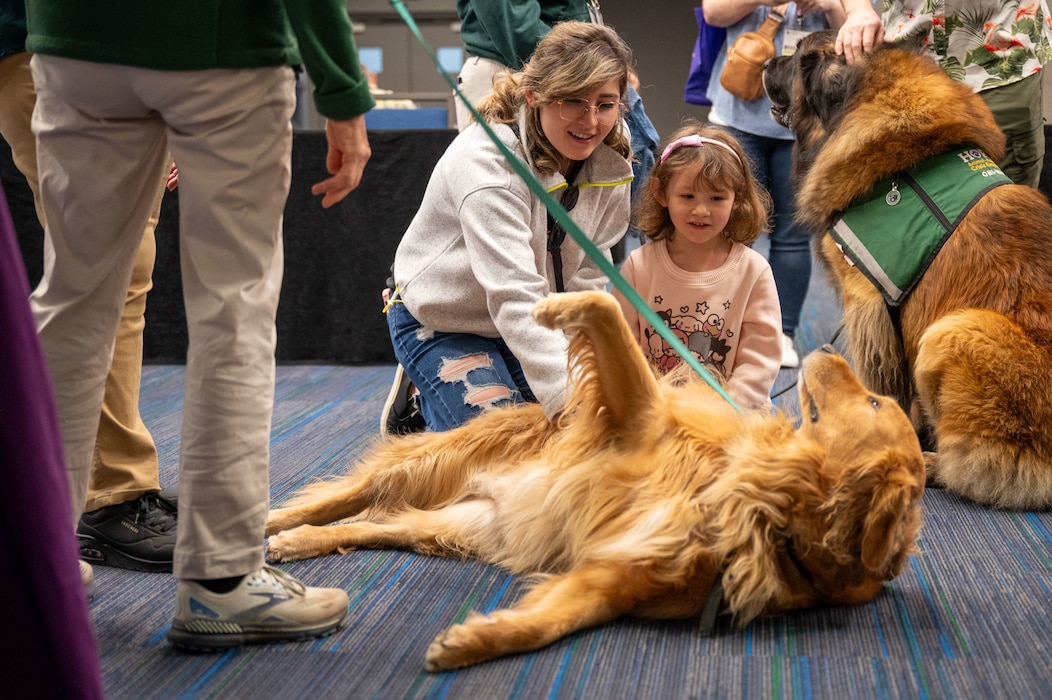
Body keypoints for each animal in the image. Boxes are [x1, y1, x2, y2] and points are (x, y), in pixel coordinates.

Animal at [263, 290, 921, 673]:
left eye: (874, 401)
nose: (829, 351)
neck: (762, 505)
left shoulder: (615, 575)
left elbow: (548, 624)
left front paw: (477, 641)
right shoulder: (637, 416)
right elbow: (606, 304)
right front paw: (555, 306)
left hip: (465, 525)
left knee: (373, 523)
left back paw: (298, 543)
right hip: (438, 459)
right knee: (349, 496)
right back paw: (274, 523)